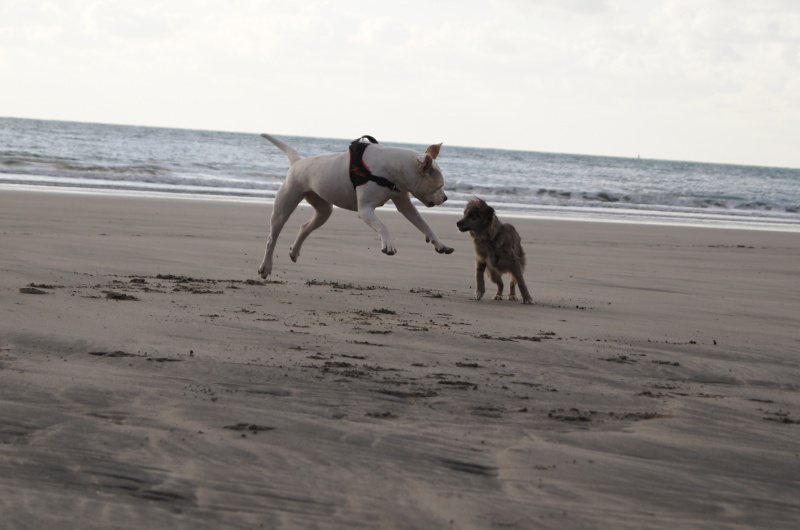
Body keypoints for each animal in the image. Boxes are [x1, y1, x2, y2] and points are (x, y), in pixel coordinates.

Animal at [258, 132, 454, 278]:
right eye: (440, 186)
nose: (445, 198)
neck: (392, 170)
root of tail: (297, 162)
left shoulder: (404, 203)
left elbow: (424, 225)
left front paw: (440, 244)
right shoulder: (365, 209)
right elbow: (382, 225)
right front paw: (388, 243)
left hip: (323, 210)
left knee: (305, 227)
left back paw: (294, 252)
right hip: (283, 208)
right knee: (271, 239)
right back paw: (266, 266)